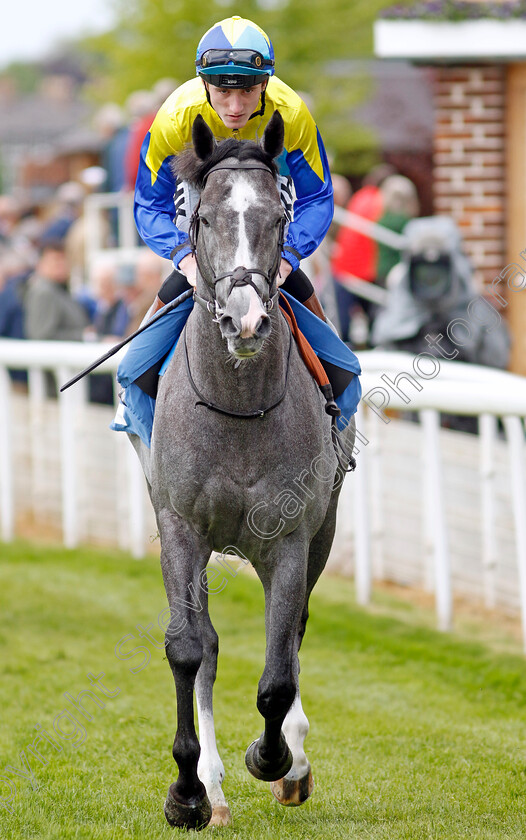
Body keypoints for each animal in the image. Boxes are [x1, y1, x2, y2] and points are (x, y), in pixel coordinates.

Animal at [130, 113, 356, 832]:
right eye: (201, 218)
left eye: (279, 218)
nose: (248, 319)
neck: (235, 405)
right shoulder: (180, 527)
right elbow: (188, 648)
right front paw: (188, 792)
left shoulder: (291, 538)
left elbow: (279, 669)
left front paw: (276, 757)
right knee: (205, 646)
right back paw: (213, 785)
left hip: (318, 531)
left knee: (293, 634)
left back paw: (292, 760)